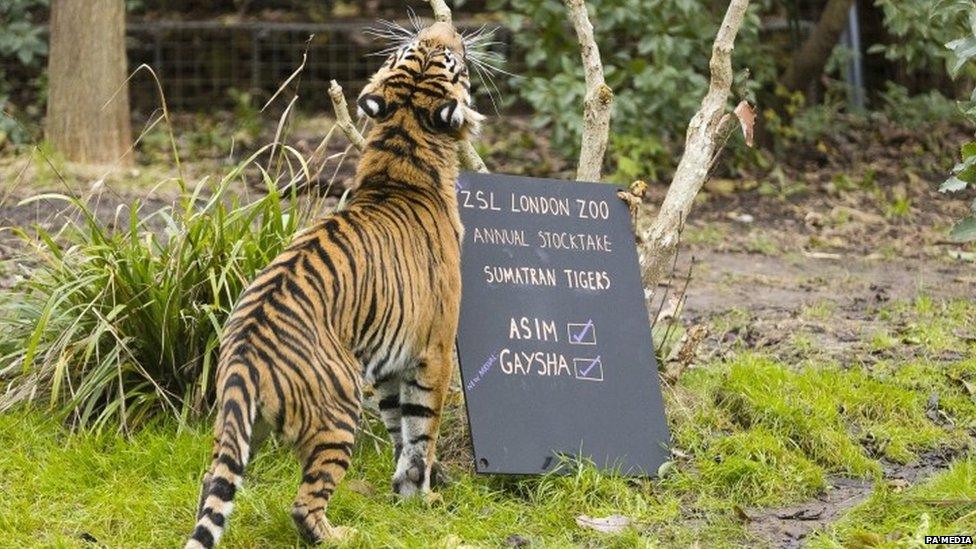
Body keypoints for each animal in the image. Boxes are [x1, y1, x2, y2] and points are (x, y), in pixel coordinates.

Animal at [185, 19, 486, 544]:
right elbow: (422, 430)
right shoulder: (434, 348)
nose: (445, 26)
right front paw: (423, 497)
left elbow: (398, 427)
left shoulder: (389, 358)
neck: (403, 149)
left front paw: (403, 495)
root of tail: (244, 355)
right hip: (339, 409)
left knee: (213, 482)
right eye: (448, 57)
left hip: (235, 428)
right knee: (304, 504)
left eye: (422, 47)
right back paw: (344, 535)